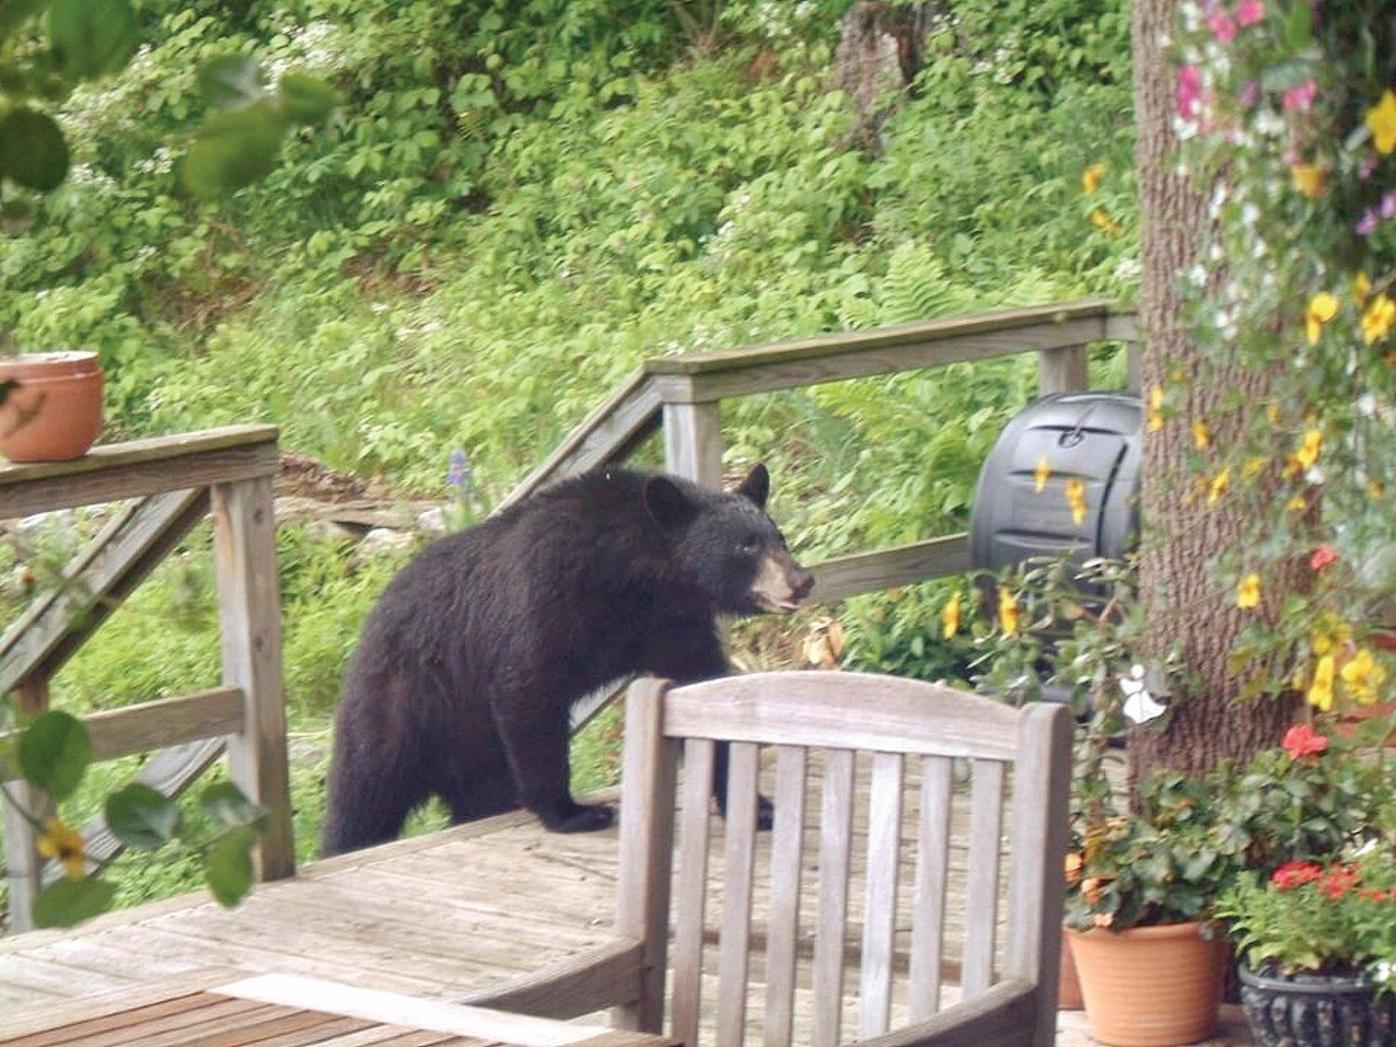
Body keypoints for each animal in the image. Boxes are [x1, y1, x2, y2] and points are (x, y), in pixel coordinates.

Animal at [320, 463, 813, 855]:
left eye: (778, 537)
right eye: (745, 546)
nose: (801, 581)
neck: (635, 576)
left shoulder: (671, 624)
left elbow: (704, 687)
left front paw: (756, 806)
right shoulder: (548, 597)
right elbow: (528, 692)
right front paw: (572, 812)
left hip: (468, 746)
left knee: (480, 794)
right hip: (403, 704)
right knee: (364, 794)